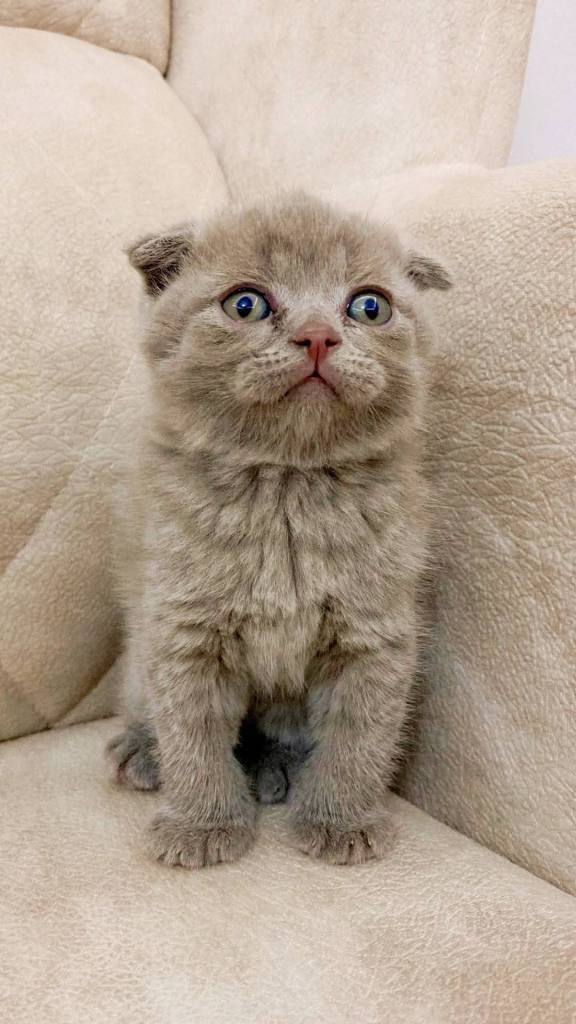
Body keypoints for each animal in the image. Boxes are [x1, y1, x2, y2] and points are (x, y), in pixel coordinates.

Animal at [107, 192, 451, 868]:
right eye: (246, 304)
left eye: (369, 306)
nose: (318, 335)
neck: (288, 486)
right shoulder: (181, 625)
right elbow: (191, 728)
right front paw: (203, 825)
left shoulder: (375, 631)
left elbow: (360, 732)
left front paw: (341, 822)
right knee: (144, 697)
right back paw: (142, 751)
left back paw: (277, 768)